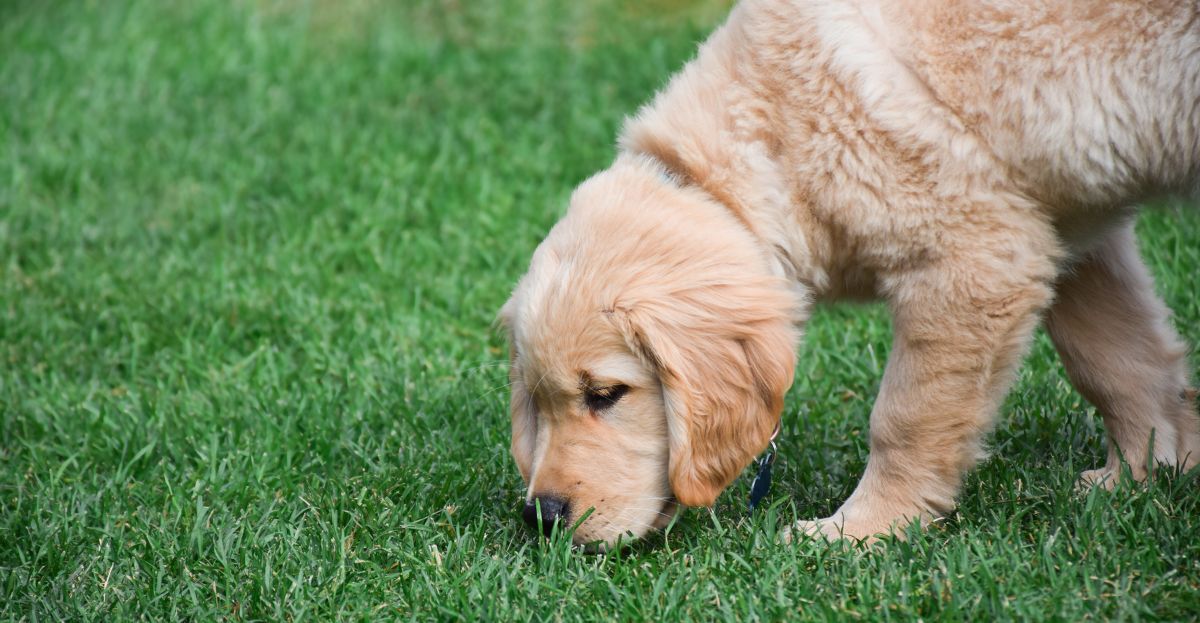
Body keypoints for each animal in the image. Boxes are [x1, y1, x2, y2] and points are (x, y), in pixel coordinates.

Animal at [501, 0, 1200, 549]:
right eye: (537, 400)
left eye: (606, 394)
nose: (544, 518)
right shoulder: (1064, 227)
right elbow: (1116, 359)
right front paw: (1143, 474)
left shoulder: (974, 256)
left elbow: (905, 418)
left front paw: (862, 530)